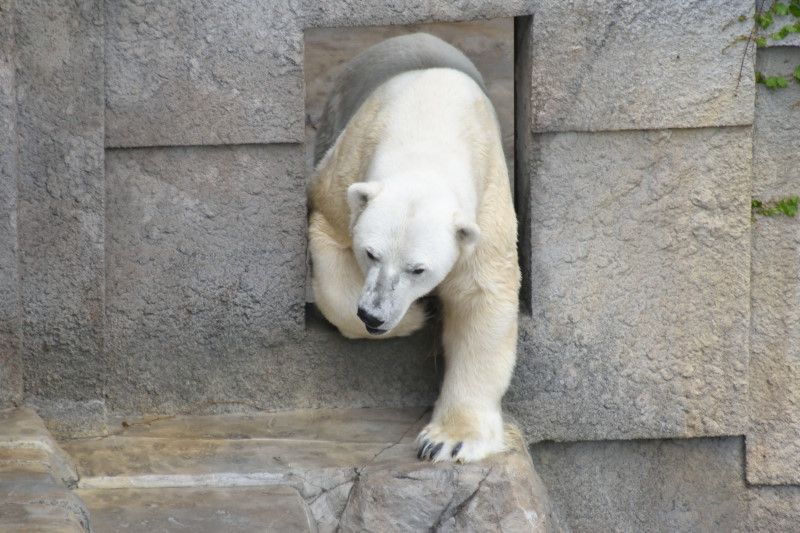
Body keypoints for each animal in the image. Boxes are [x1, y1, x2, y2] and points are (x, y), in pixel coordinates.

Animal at [306, 35, 520, 464]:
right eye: (370, 253)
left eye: (418, 269)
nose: (374, 315)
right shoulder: (344, 172)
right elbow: (331, 238)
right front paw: (416, 317)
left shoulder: (487, 204)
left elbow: (482, 296)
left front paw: (448, 440)